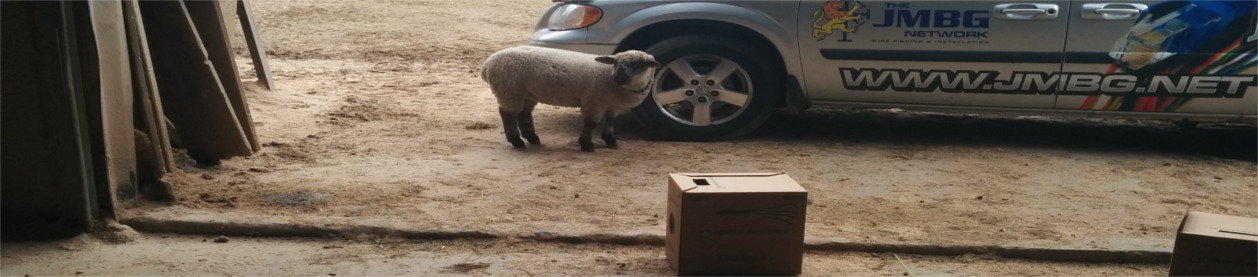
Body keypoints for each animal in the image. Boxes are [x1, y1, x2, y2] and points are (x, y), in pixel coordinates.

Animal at [478, 46, 659, 152]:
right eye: (615, 63)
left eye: (639, 64)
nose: (618, 77)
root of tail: (487, 65)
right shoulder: (594, 101)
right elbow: (592, 123)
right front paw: (587, 145)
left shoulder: (612, 105)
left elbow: (610, 122)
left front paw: (611, 140)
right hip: (509, 90)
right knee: (507, 114)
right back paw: (516, 141)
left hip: (526, 93)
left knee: (524, 115)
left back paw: (532, 138)